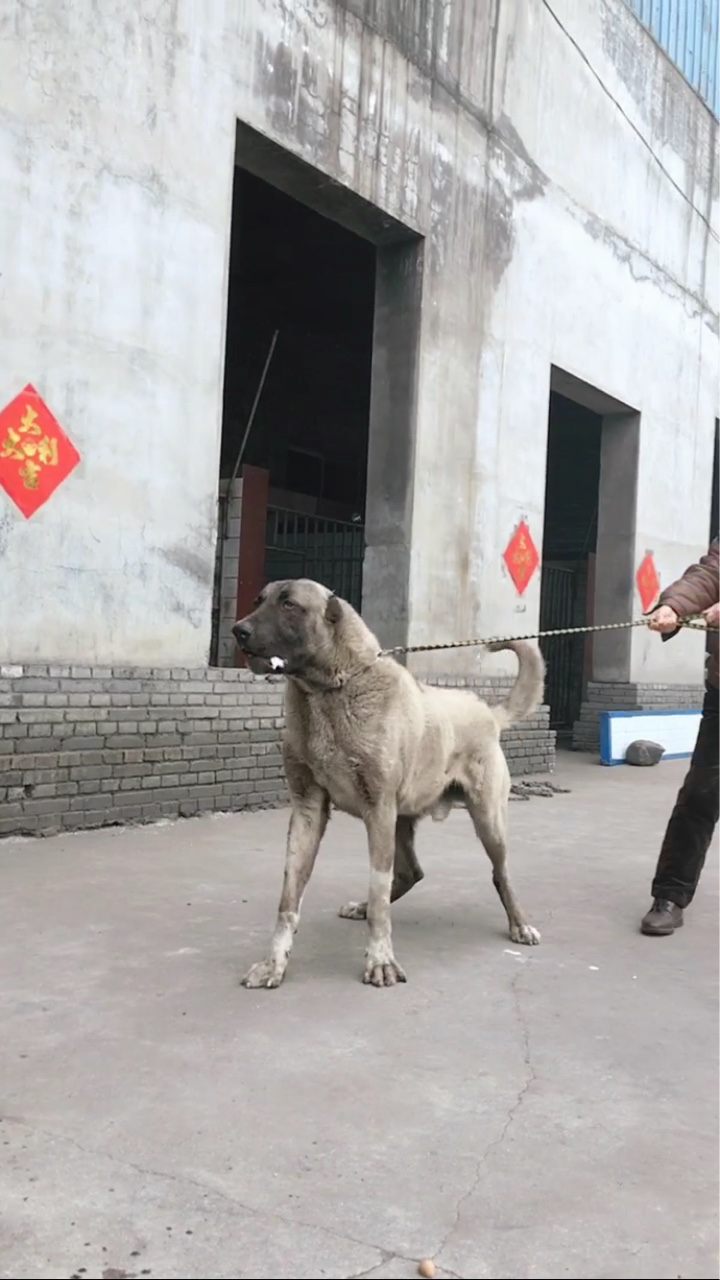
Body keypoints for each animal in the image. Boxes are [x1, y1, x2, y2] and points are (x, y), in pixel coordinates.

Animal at [233, 581, 540, 988]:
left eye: (289, 604)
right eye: (259, 600)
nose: (238, 630)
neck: (332, 688)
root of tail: (489, 712)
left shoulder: (378, 809)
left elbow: (378, 888)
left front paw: (380, 960)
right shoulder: (308, 809)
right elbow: (289, 898)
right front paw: (274, 963)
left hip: (487, 820)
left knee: (500, 873)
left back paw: (520, 923)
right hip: (401, 819)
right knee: (412, 872)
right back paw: (361, 908)